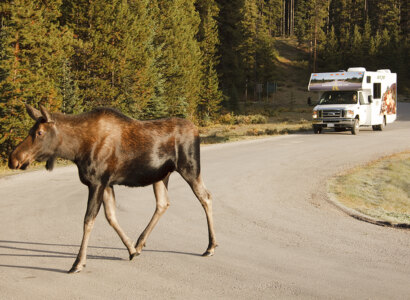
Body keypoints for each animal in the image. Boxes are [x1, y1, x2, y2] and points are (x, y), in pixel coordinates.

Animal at [8, 104, 216, 274]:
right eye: (31, 129)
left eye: (39, 132)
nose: (14, 159)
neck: (75, 150)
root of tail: (196, 130)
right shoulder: (107, 183)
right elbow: (111, 217)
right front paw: (131, 249)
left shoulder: (97, 182)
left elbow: (89, 220)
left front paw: (78, 263)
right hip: (161, 176)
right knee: (163, 203)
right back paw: (140, 243)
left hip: (190, 167)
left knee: (205, 196)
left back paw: (210, 246)